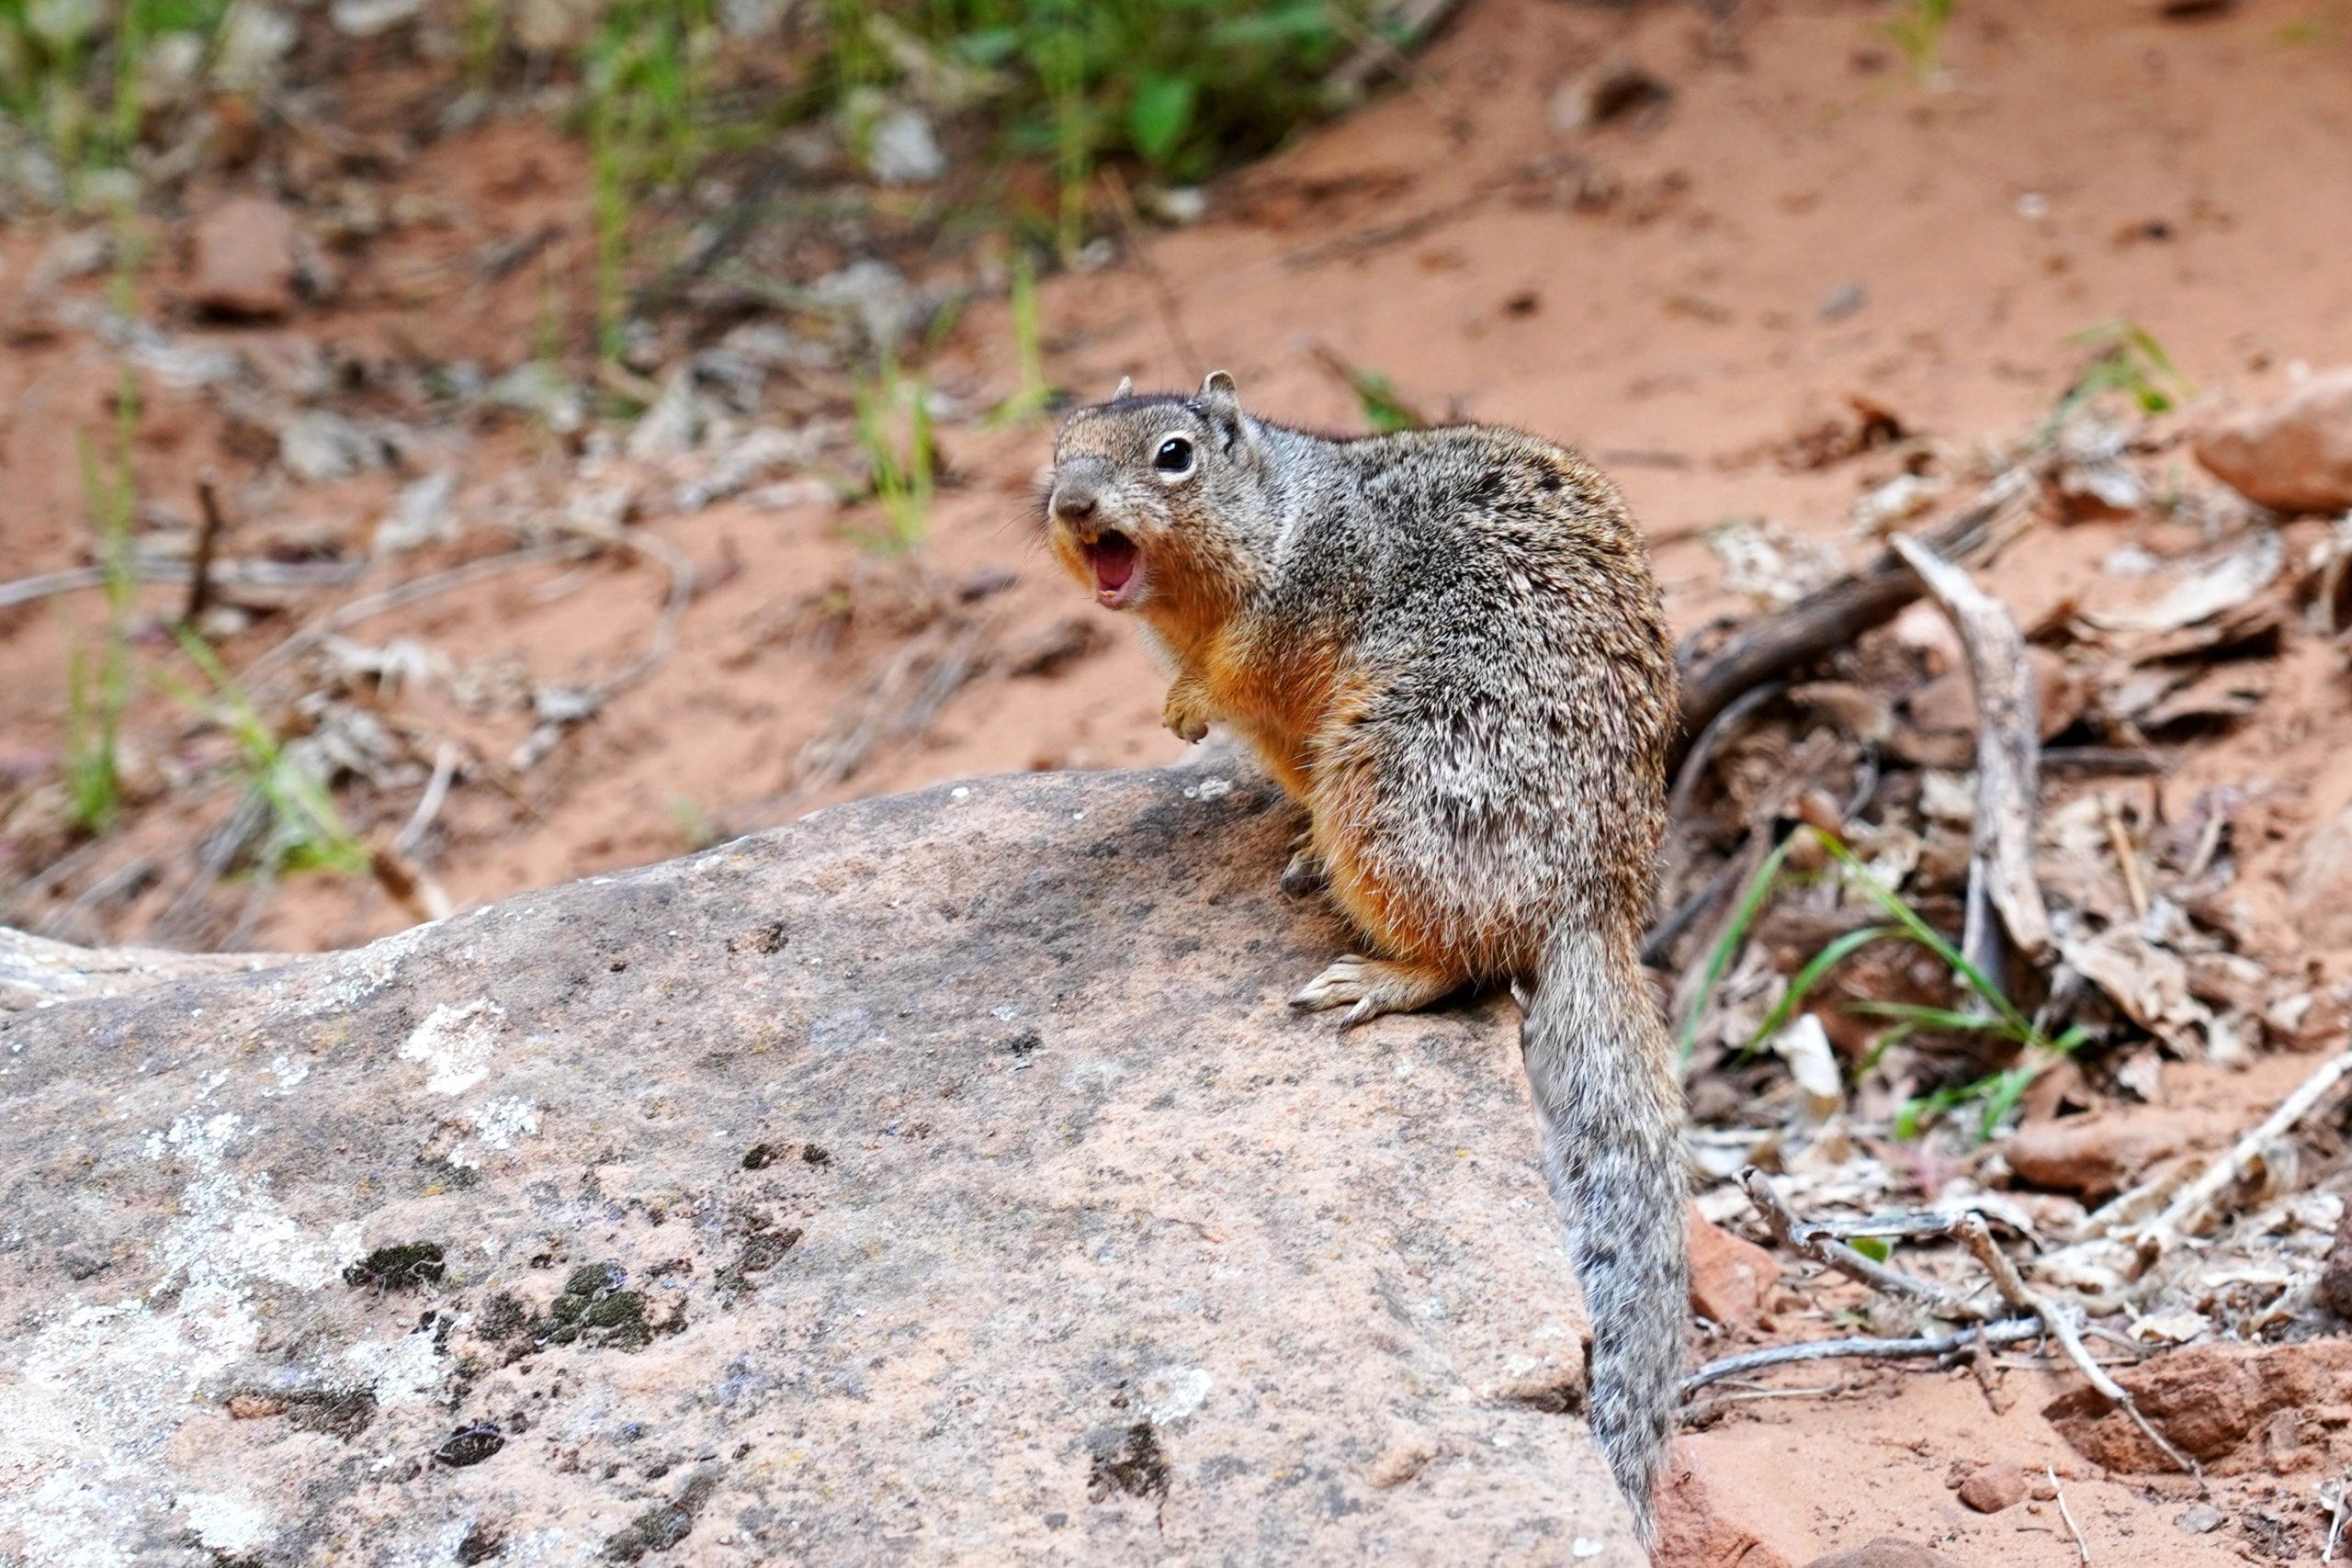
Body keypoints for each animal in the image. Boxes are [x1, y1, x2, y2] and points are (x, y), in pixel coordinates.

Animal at [1042, 371, 1689, 1541]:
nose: (1072, 505)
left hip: (1395, 774)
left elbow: (1242, 668)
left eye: (1173, 456)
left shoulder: (1303, 606)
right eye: (1060, 446)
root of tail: (1597, 904)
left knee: (1464, 960)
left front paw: (1189, 702)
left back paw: (1377, 975)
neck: (1282, 515)